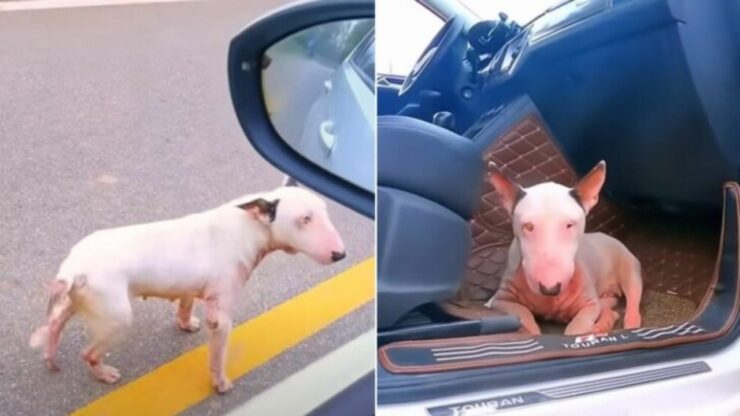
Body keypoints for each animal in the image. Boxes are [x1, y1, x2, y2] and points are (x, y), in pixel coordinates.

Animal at [30, 187, 348, 392]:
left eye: (325, 211)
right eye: (305, 219)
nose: (340, 254)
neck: (248, 226)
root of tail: (74, 269)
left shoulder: (192, 290)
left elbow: (185, 304)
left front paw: (185, 324)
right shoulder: (222, 319)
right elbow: (218, 357)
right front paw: (220, 384)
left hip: (72, 302)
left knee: (55, 324)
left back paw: (50, 356)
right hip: (116, 319)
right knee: (89, 353)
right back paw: (104, 373)